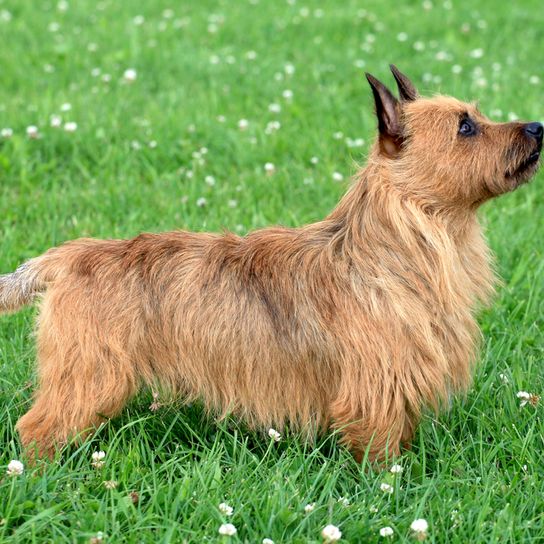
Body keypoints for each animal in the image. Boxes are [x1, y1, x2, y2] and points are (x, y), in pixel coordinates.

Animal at [0, 66, 540, 462]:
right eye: (466, 126)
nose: (537, 126)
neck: (397, 248)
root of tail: (66, 256)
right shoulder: (374, 390)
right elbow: (380, 454)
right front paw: (391, 492)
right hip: (89, 376)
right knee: (36, 428)